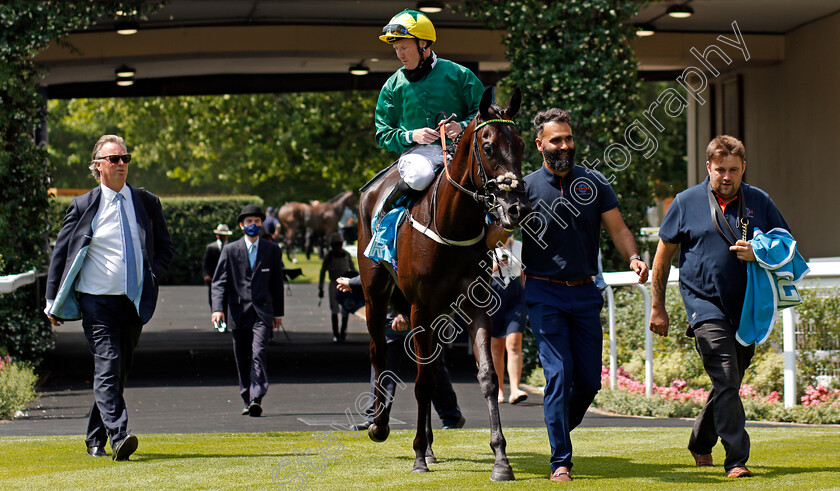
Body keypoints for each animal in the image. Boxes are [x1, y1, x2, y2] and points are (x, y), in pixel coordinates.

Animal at [356, 87, 528, 480]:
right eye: (488, 145)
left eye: (523, 143)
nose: (515, 208)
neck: (451, 224)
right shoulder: (419, 307)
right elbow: (420, 382)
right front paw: (418, 454)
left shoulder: (475, 305)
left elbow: (487, 377)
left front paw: (501, 459)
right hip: (375, 294)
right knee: (379, 352)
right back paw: (379, 425)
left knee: (433, 369)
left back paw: (432, 447)